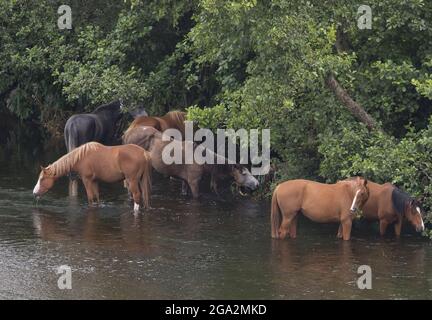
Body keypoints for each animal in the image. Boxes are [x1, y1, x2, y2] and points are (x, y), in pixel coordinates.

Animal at [121, 125, 258, 198]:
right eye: (244, 173)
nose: (257, 184)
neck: (206, 164)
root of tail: (126, 134)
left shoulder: (185, 180)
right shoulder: (193, 181)